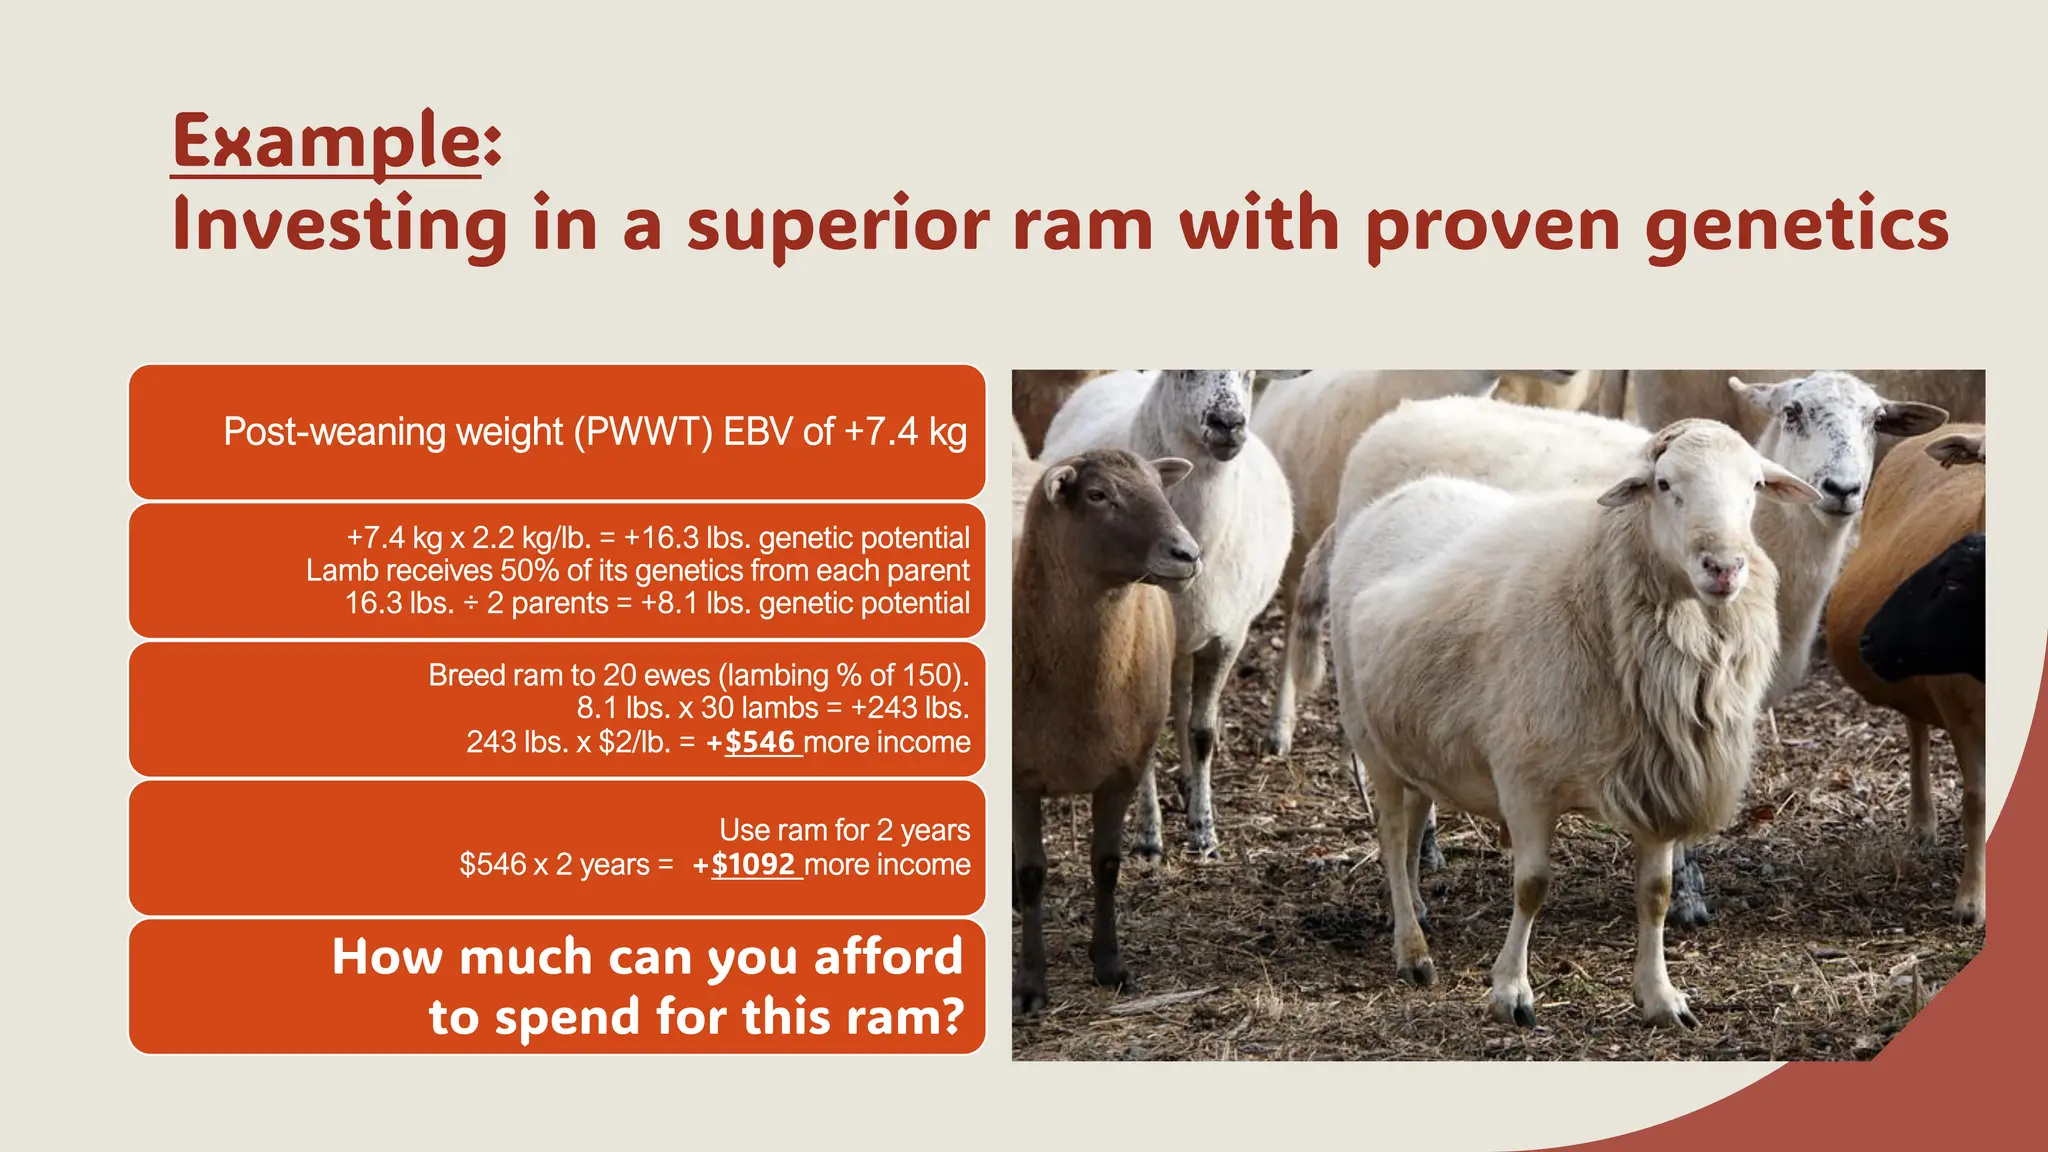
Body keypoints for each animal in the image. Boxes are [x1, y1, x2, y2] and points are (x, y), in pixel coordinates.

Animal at [1012, 448, 1201, 1012]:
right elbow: (1032, 873)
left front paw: (1109, 965)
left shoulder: (1122, 771)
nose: (1188, 553)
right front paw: (1030, 984)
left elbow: (1107, 864)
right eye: (1097, 495)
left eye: (1160, 488)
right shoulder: (1020, 776)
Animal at [1041, 370, 1293, 858]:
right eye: (1184, 372)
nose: (1228, 424)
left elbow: (1203, 732)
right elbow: (1145, 741)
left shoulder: (1227, 637)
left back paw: (1188, 785)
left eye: (1251, 374)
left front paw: (1204, 830)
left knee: (1183, 702)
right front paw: (1148, 837)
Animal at [1332, 420, 1820, 1028]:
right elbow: (1531, 885)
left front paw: (1660, 996)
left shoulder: (1656, 777)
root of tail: (1400, 497)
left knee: (1417, 817)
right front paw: (1511, 991)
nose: (1724, 567)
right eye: (1664, 484)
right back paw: (1412, 950)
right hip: (1369, 738)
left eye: (1755, 485)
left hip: (1415, 740)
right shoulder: (1523, 780)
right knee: (1394, 836)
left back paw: (1419, 911)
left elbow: (1656, 892)